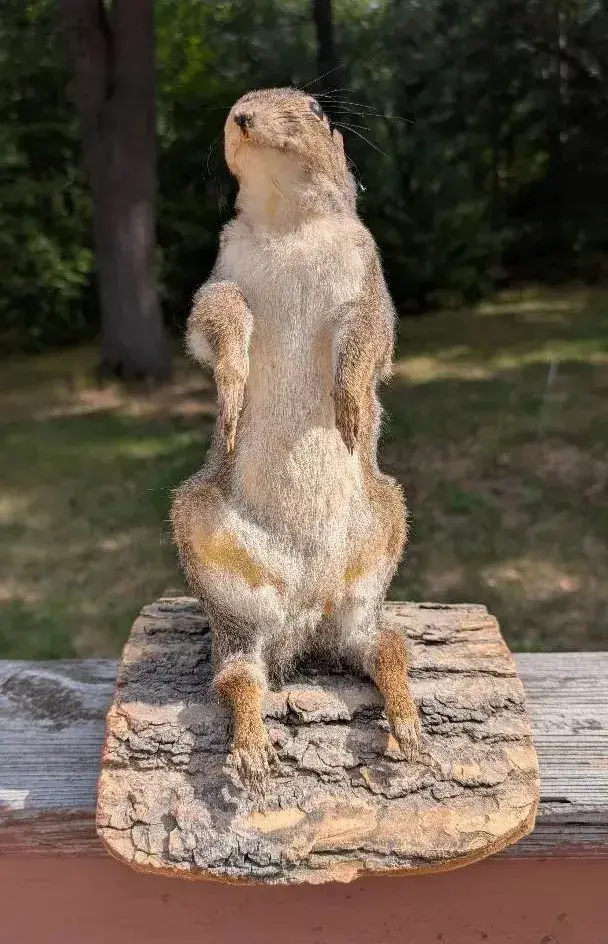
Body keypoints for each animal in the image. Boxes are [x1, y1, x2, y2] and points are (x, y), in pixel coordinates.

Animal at [171, 87, 420, 793]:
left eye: (312, 107)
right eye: (239, 105)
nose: (240, 118)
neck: (288, 223)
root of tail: (307, 615)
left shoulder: (367, 277)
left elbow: (370, 338)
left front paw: (353, 404)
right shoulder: (221, 274)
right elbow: (216, 318)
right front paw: (230, 391)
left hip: (381, 531)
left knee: (387, 649)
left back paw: (406, 716)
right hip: (211, 550)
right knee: (239, 679)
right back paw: (252, 744)